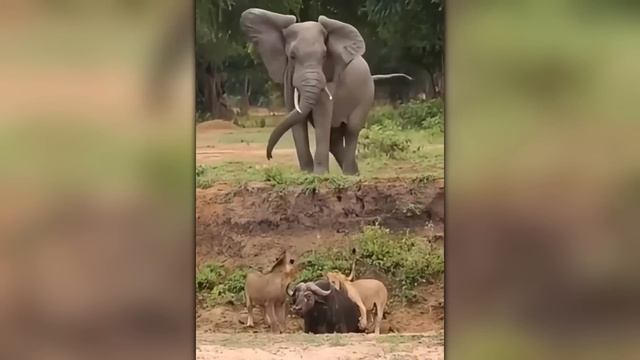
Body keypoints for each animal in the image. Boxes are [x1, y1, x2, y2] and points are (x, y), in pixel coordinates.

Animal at [239, 8, 410, 176]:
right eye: (292, 56)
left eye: (324, 56)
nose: (269, 156)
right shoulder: (288, 76)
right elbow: (297, 118)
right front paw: (306, 173)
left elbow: (321, 114)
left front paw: (319, 175)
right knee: (334, 138)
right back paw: (353, 172)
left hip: (367, 94)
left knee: (352, 129)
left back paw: (349, 174)